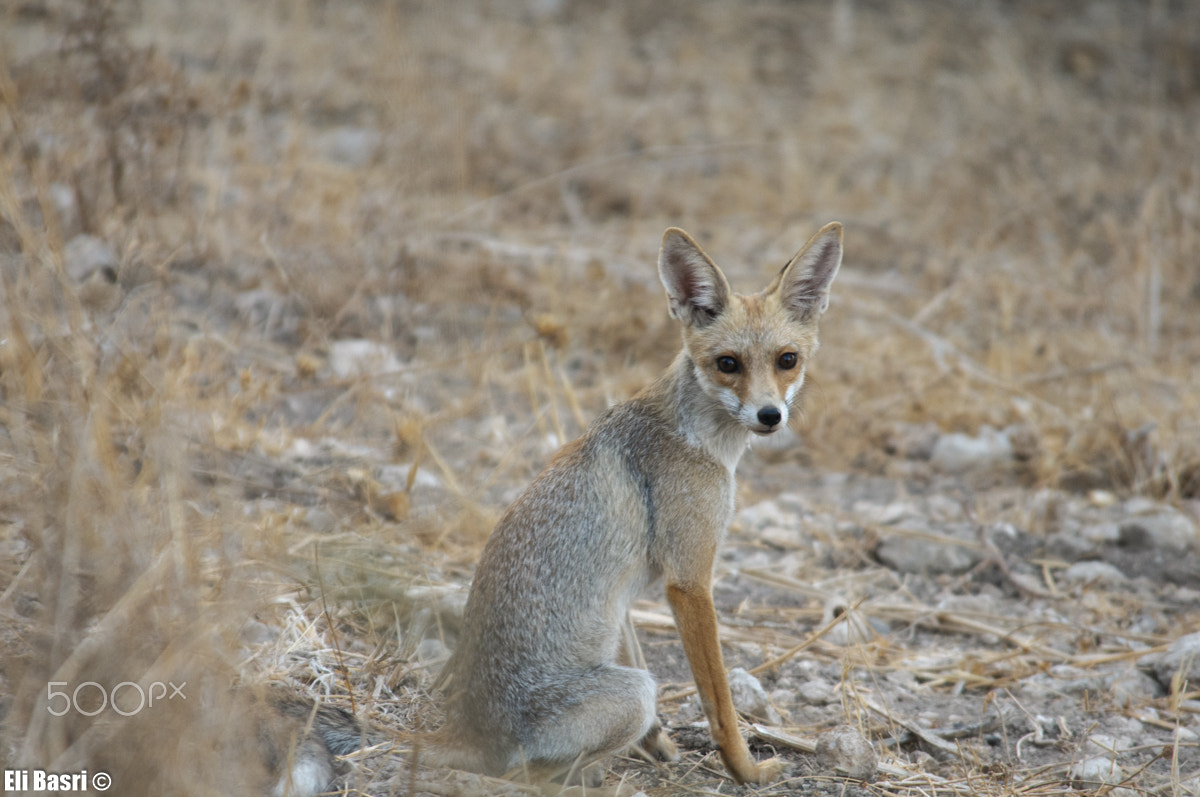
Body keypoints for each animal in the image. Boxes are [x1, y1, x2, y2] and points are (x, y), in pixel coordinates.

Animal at [433, 222, 844, 788]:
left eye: (788, 360)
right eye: (728, 364)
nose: (770, 416)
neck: (699, 441)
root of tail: (468, 732)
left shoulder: (624, 599)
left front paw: (660, 746)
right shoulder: (689, 583)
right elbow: (720, 703)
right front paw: (744, 770)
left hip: (630, 683)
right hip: (635, 692)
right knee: (527, 777)